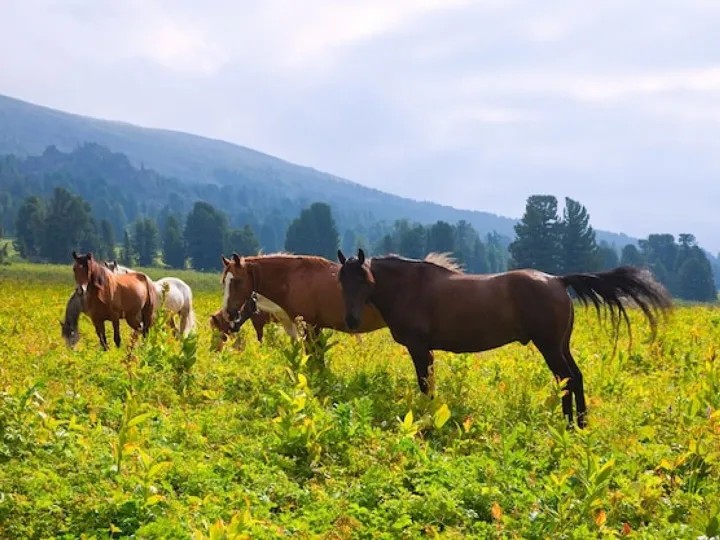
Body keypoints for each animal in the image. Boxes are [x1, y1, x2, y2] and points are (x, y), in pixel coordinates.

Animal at [336, 248, 673, 429]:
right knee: (575, 377)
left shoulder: (420, 349)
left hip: (549, 346)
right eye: (341, 280)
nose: (351, 320)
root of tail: (557, 280)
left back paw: (568, 425)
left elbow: (425, 387)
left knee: (565, 378)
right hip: (561, 345)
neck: (410, 287)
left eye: (364, 280)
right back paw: (580, 423)